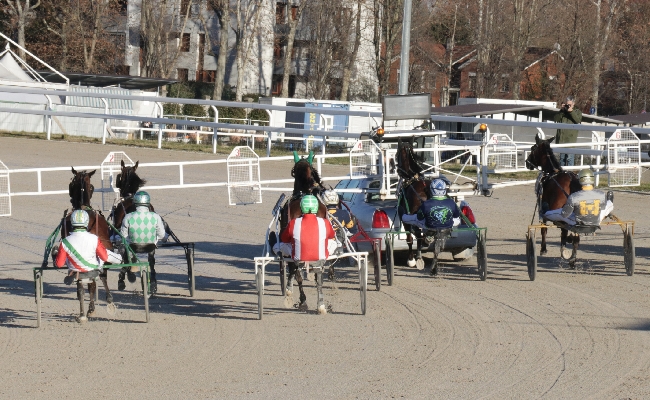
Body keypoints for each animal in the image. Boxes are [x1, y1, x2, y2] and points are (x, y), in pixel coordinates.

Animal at [394, 139, 450, 274]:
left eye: (396, 155)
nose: (397, 169)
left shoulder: (405, 217)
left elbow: (410, 237)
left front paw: (412, 259)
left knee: (419, 235)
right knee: (437, 241)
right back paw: (434, 267)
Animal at [524, 134, 580, 264]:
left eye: (533, 148)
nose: (527, 162)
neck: (551, 172)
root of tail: (571, 180)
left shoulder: (543, 210)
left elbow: (544, 229)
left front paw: (543, 249)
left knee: (565, 228)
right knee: (574, 233)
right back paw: (572, 256)